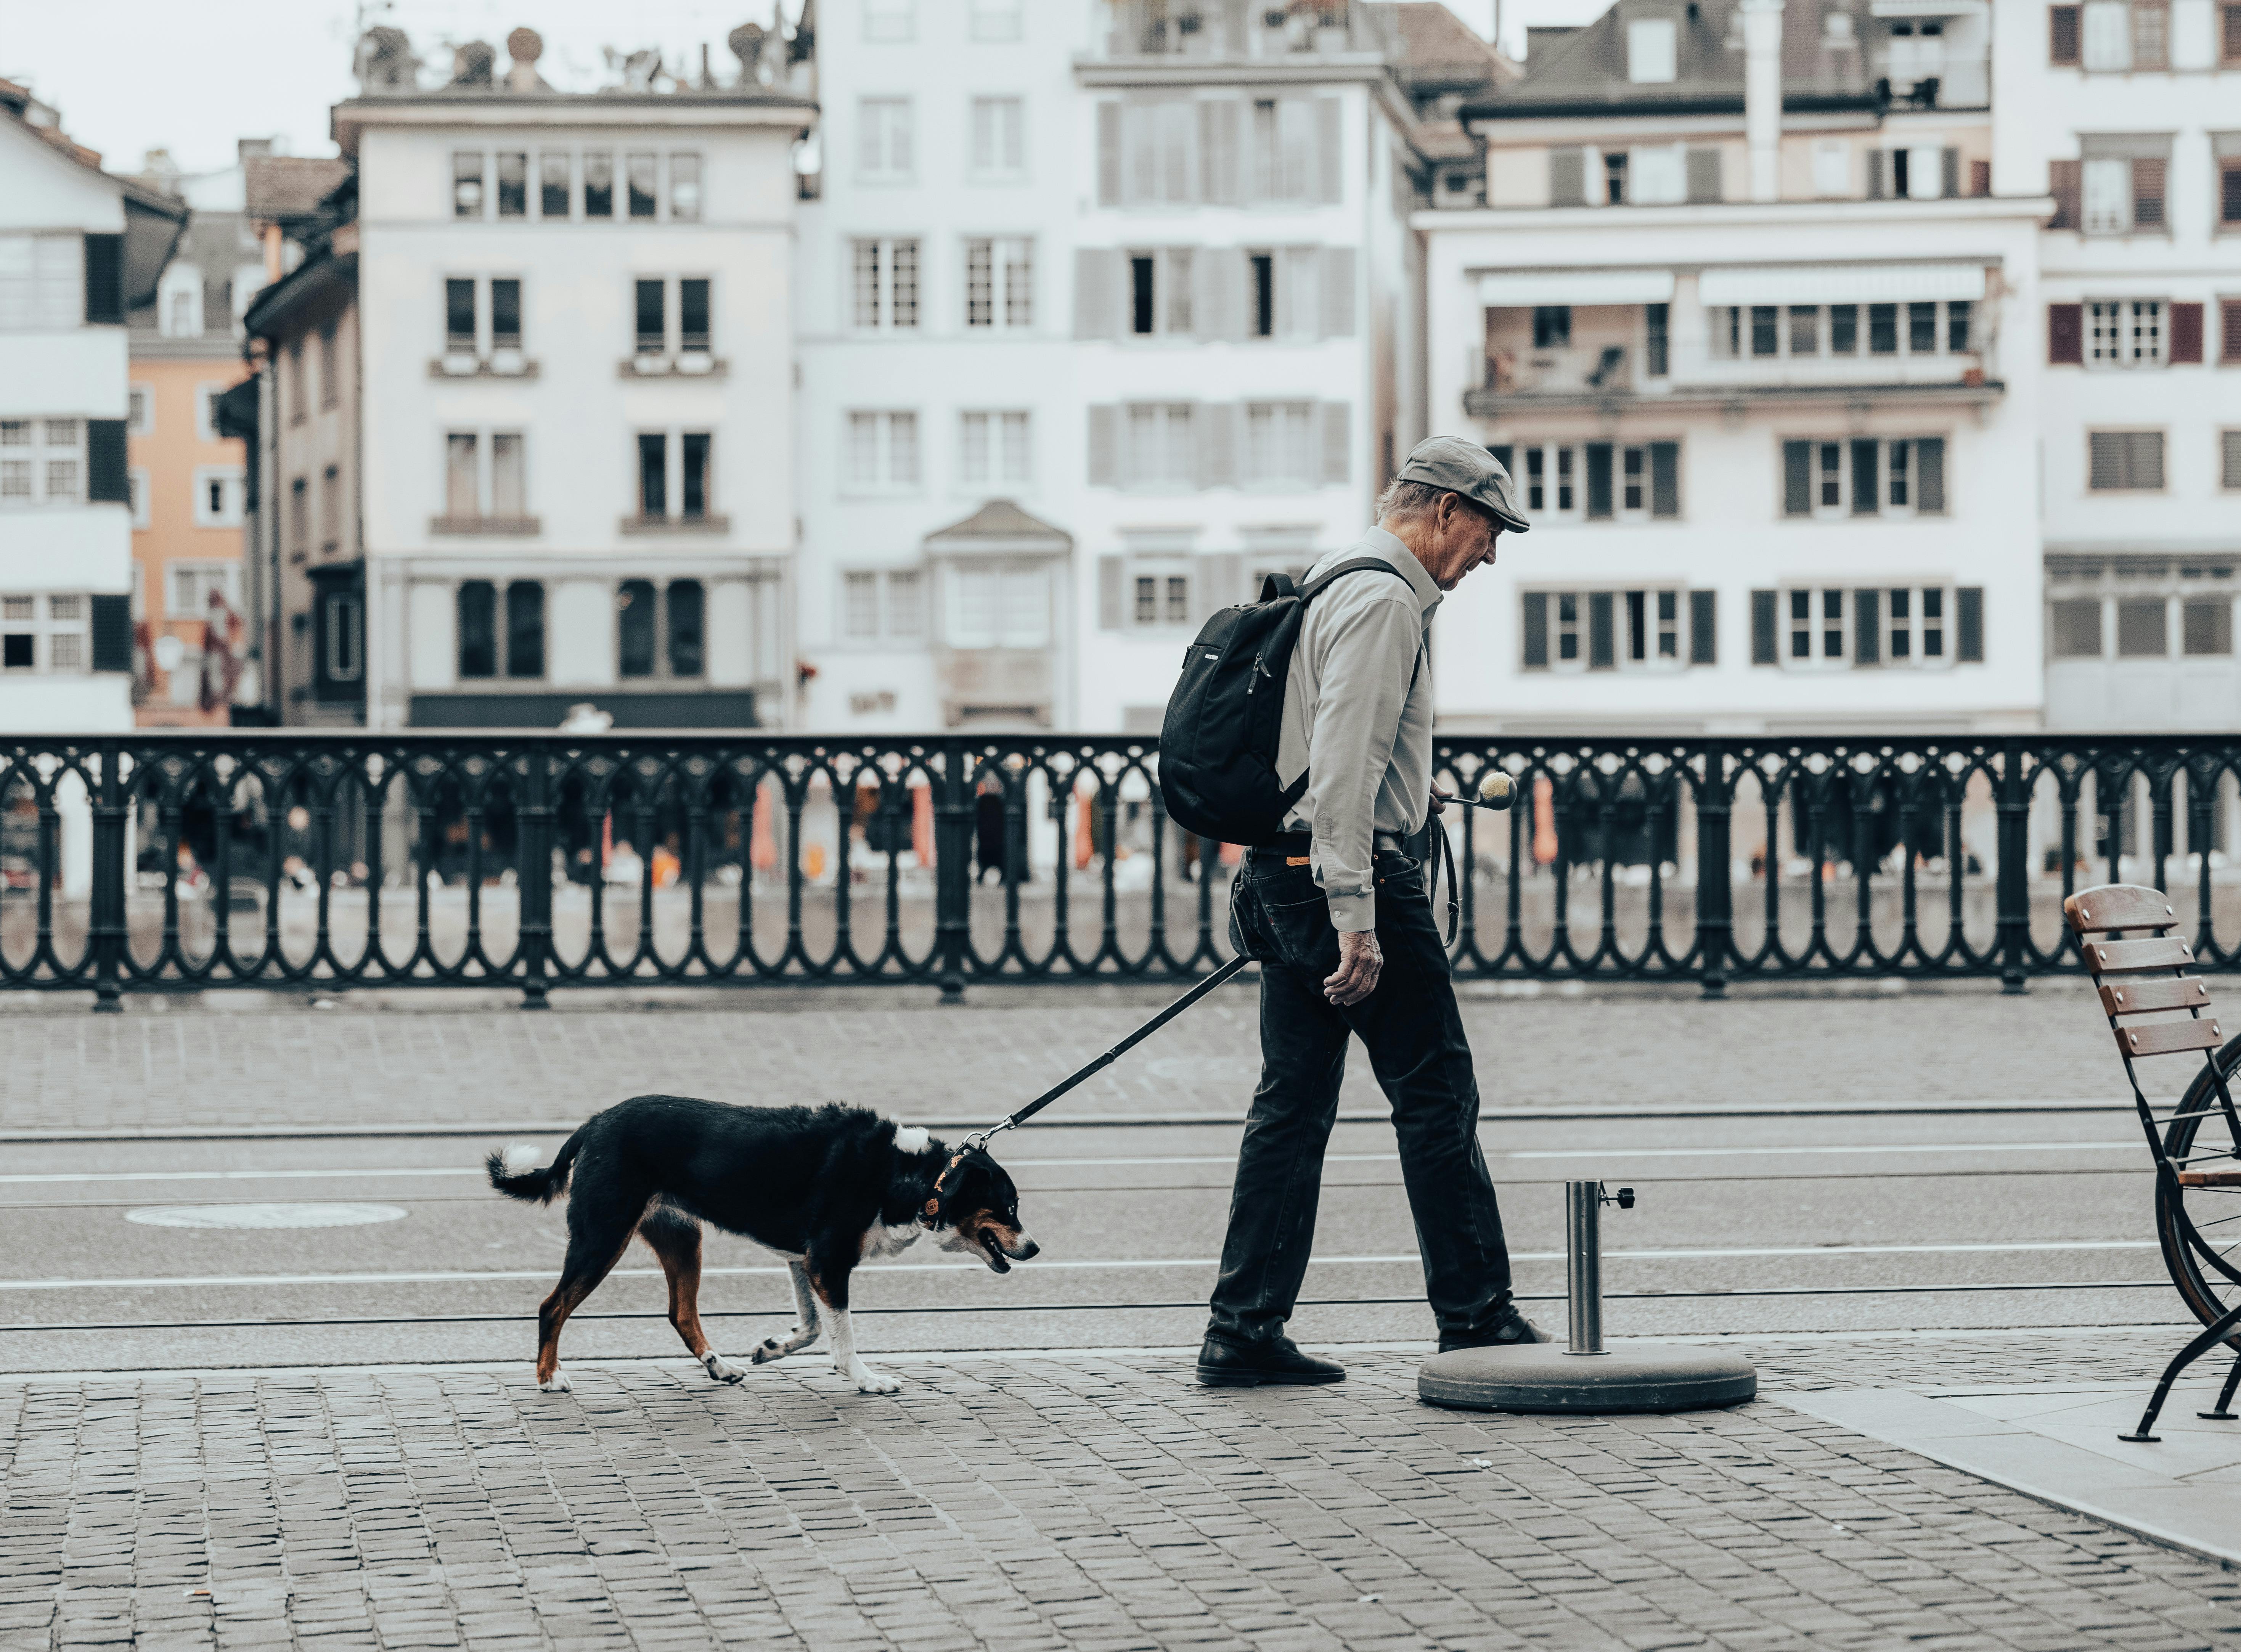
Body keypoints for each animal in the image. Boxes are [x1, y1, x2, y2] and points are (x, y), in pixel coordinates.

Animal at [486, 1094, 1035, 1390]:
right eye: (1009, 1208)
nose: (1034, 1249)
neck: (915, 1176)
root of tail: (594, 1123)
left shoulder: (804, 1261)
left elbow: (812, 1328)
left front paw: (773, 1348)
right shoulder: (828, 1262)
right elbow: (843, 1337)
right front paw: (865, 1379)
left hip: (682, 1239)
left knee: (681, 1313)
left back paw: (720, 1368)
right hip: (603, 1236)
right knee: (553, 1306)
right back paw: (549, 1378)